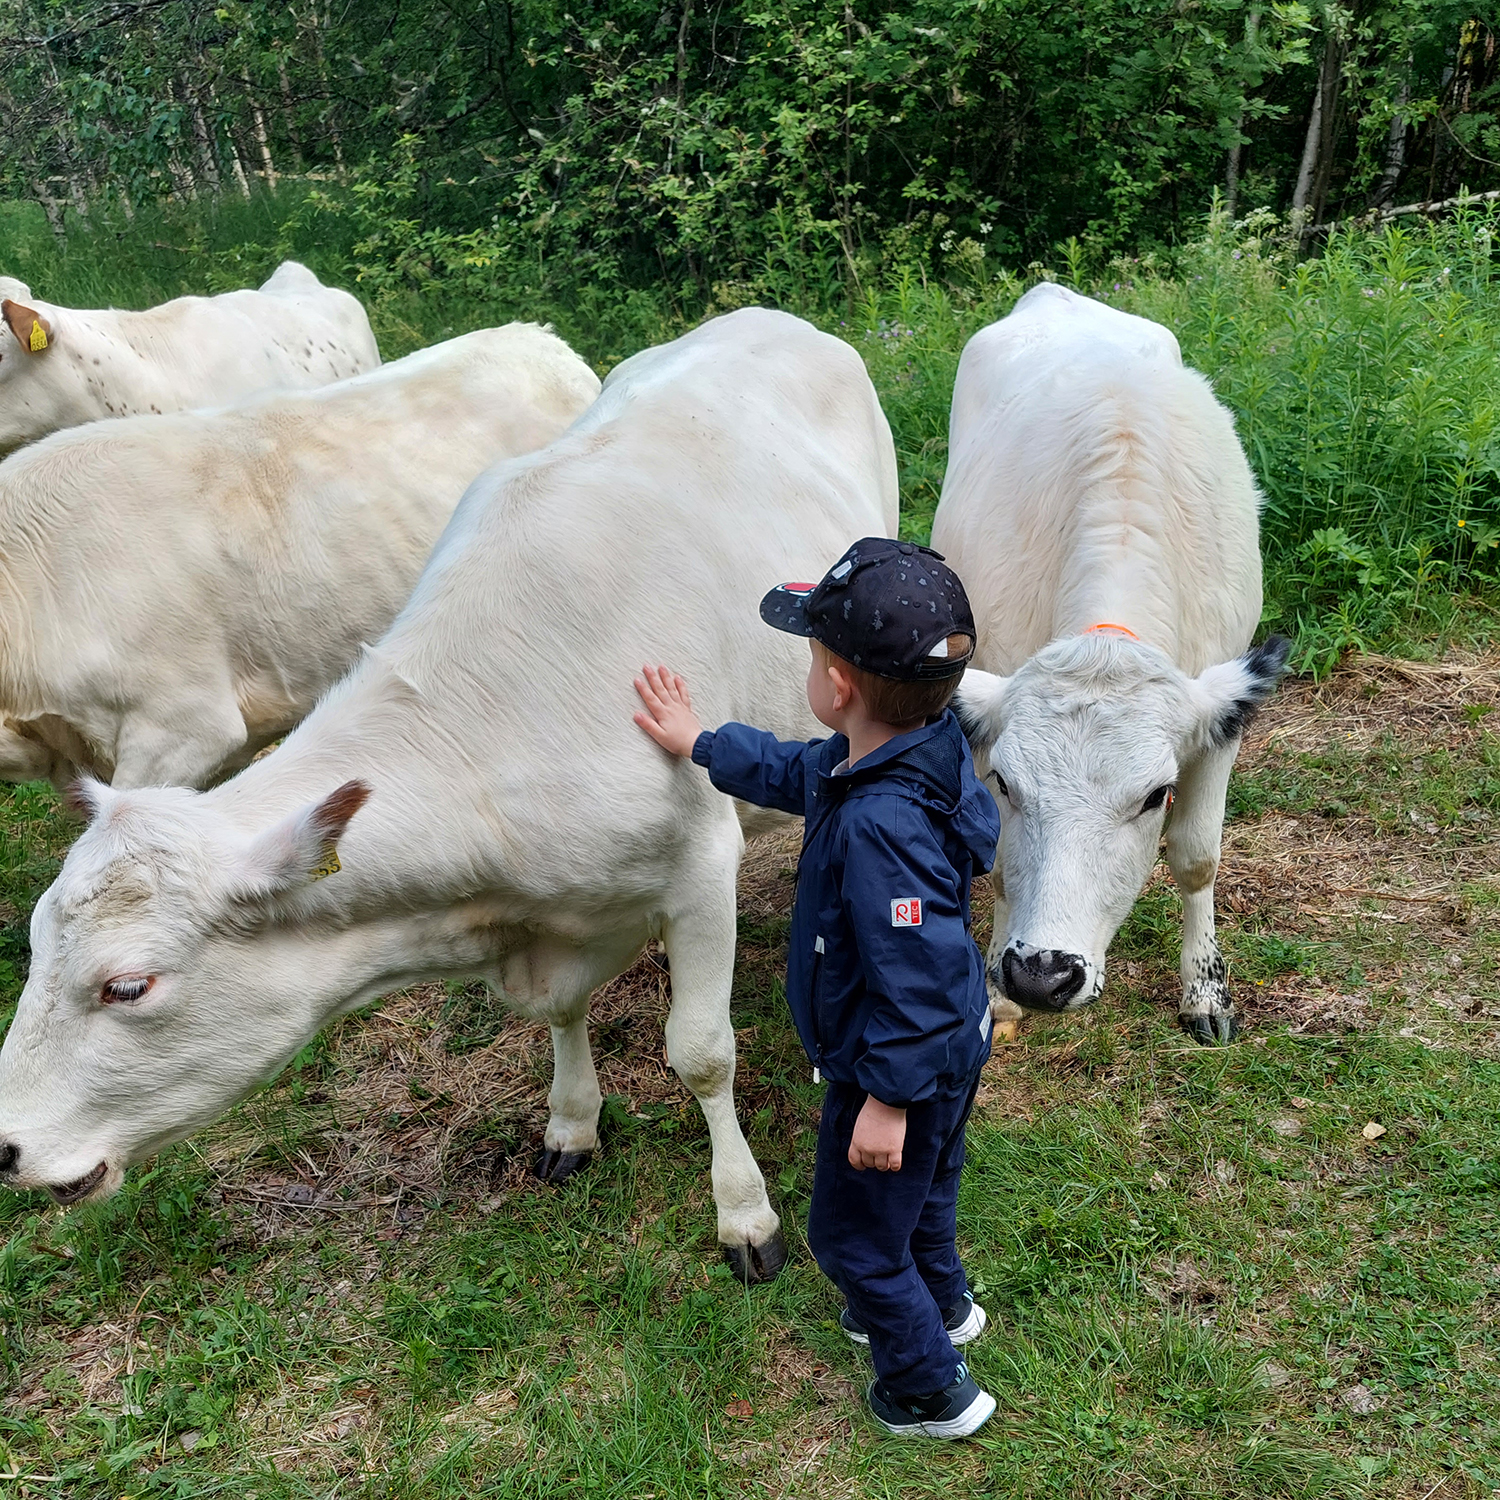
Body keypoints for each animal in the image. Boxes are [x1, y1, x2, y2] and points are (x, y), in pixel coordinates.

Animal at [931, 283, 1288, 1047]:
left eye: (1155, 795)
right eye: (1008, 784)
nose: (1042, 972)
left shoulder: (1222, 722)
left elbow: (1197, 856)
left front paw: (1205, 990)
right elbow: (998, 861)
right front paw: (994, 995)